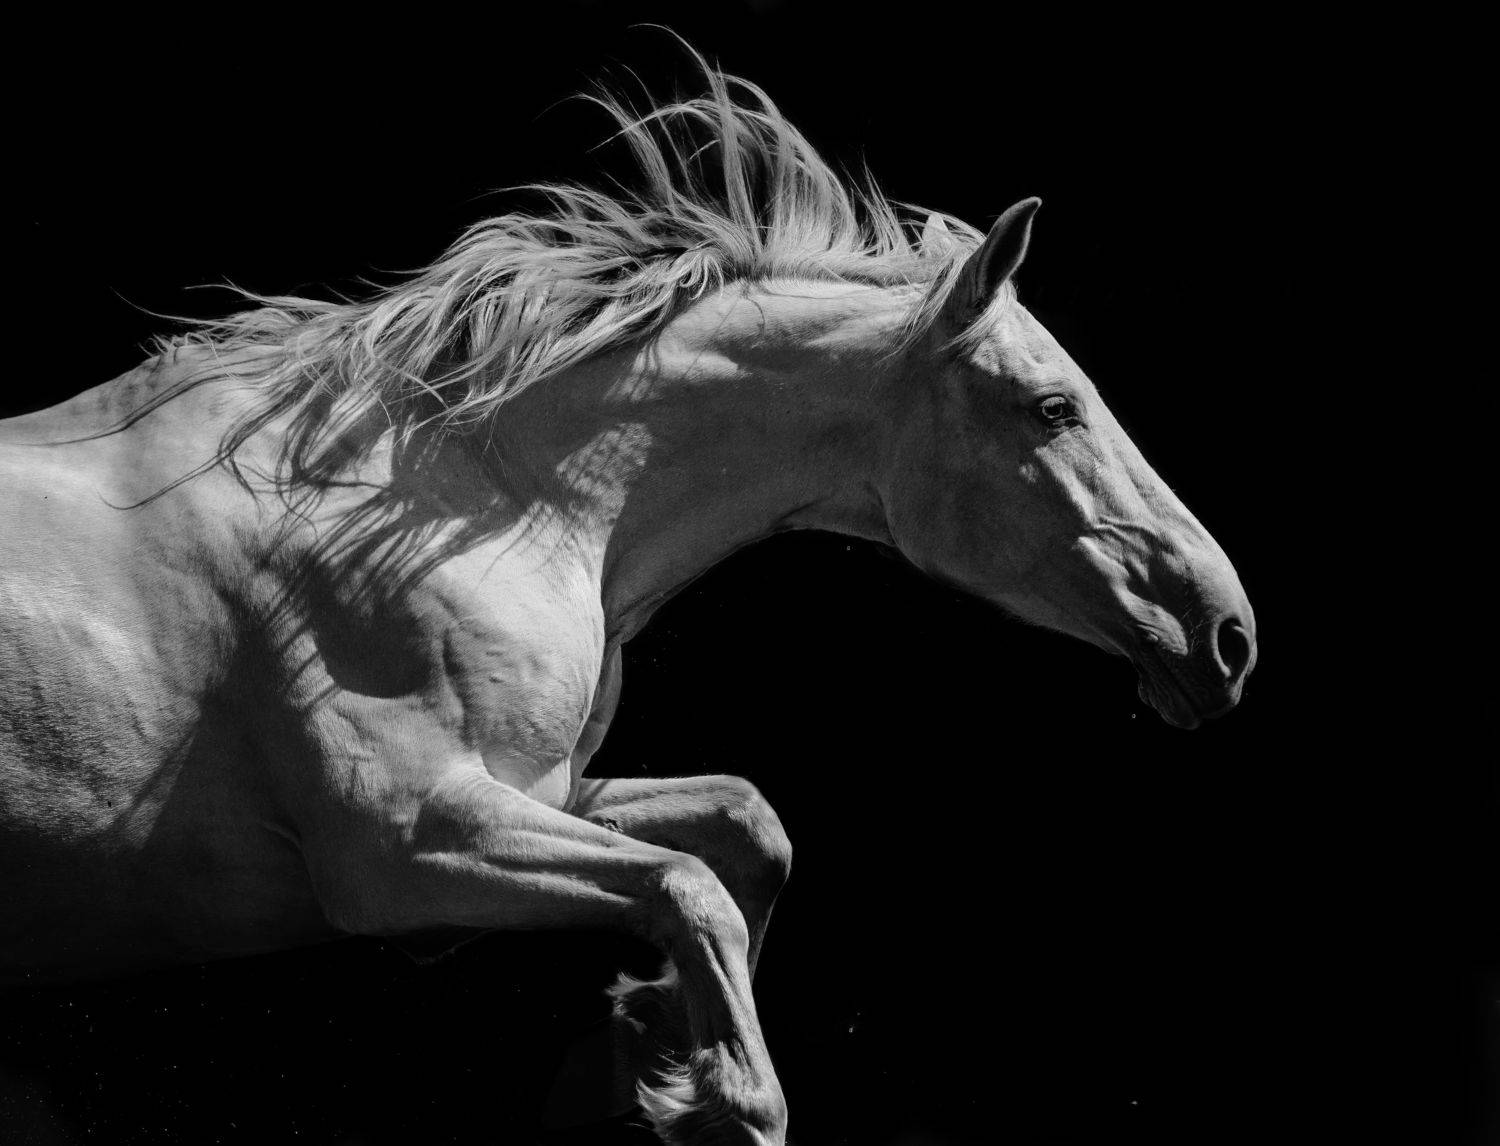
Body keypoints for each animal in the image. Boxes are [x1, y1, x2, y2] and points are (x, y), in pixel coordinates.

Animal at [0, 53, 1256, 1144]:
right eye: (1054, 408)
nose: (1226, 633)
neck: (455, 503)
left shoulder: (543, 794)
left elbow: (743, 825)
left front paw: (654, 1034)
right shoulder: (409, 849)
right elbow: (694, 894)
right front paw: (709, 1088)